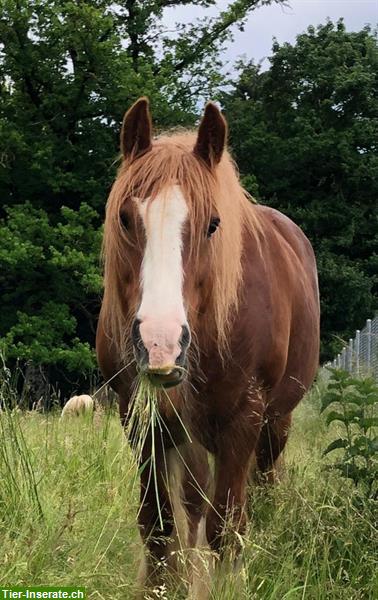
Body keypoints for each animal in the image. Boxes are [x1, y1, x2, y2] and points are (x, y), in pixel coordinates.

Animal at [96, 97, 320, 596]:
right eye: (125, 218)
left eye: (214, 224)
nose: (160, 343)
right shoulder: (142, 418)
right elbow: (159, 524)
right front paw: (165, 586)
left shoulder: (244, 418)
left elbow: (228, 528)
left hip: (275, 423)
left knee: (260, 489)